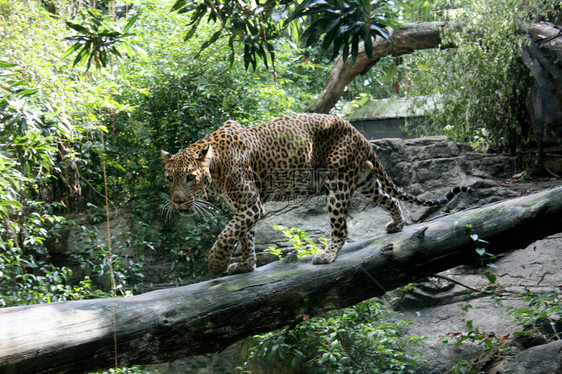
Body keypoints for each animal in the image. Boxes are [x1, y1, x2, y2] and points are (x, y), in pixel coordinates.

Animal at [162, 112, 472, 276]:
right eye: (169, 178)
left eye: (190, 178)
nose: (177, 202)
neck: (215, 169)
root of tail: (359, 132)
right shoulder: (243, 208)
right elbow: (244, 235)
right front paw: (246, 265)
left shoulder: (251, 205)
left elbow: (228, 233)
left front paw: (216, 263)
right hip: (363, 179)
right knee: (389, 196)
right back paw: (397, 224)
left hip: (337, 182)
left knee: (341, 228)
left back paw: (327, 255)